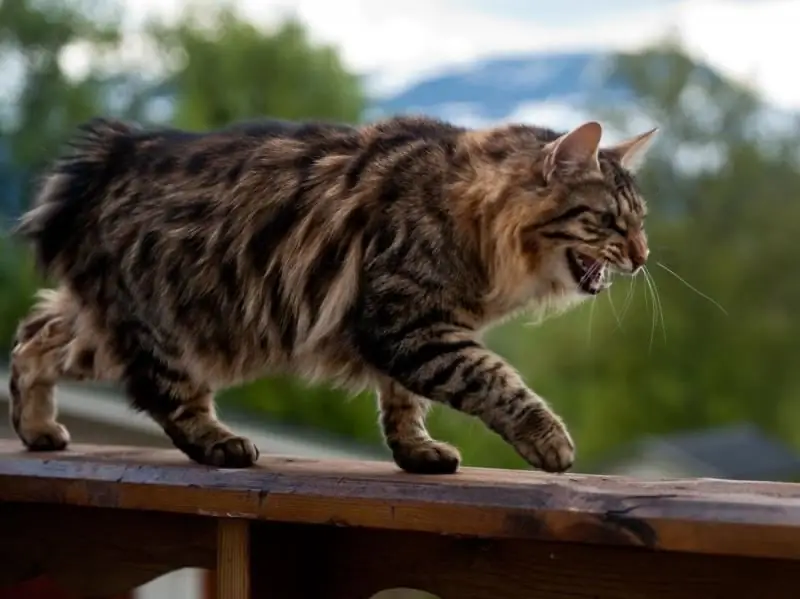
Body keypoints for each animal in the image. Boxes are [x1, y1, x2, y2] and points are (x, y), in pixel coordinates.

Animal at [7, 115, 656, 476]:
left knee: (32, 340)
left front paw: (416, 453)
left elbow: (404, 405)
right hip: (174, 326)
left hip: (107, 325)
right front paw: (549, 441)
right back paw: (220, 444)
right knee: (169, 400)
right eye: (611, 222)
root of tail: (114, 154)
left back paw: (36, 429)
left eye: (641, 221)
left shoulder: (415, 328)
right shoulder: (407, 323)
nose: (643, 256)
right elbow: (495, 380)